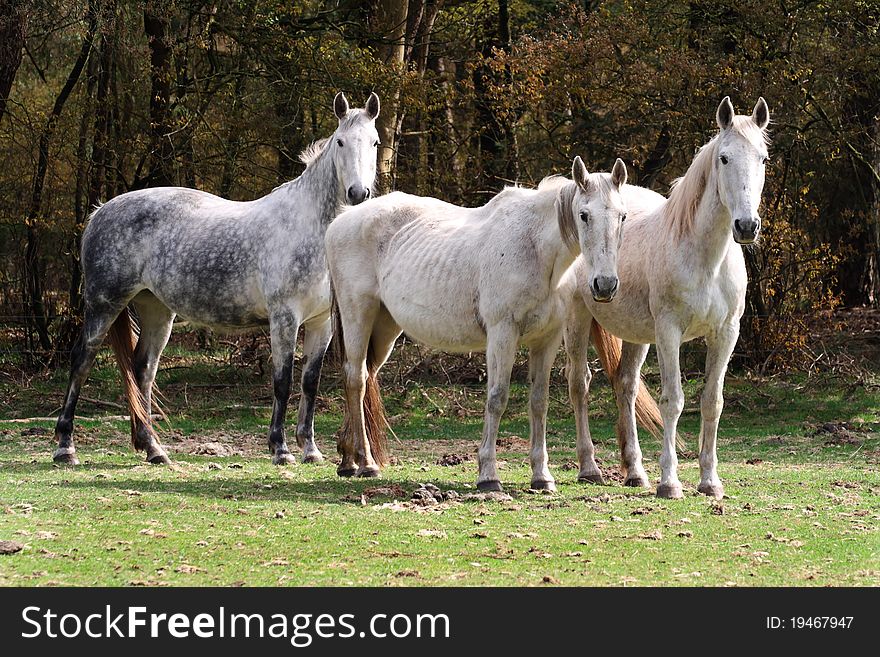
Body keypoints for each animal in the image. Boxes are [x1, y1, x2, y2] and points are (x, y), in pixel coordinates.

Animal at [51, 91, 380, 466]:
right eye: (340, 141)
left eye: (375, 142)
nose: (358, 193)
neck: (308, 226)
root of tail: (99, 213)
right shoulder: (284, 318)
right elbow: (282, 381)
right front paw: (280, 449)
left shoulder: (320, 321)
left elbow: (309, 382)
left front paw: (310, 449)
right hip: (104, 304)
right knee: (82, 361)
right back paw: (66, 447)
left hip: (156, 310)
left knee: (143, 370)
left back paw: (154, 449)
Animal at [330, 156, 660, 490]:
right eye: (584, 215)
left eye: (623, 216)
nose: (604, 285)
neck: (535, 249)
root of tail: (343, 219)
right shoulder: (503, 334)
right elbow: (497, 397)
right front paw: (488, 476)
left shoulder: (547, 339)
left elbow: (538, 401)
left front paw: (542, 476)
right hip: (358, 315)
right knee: (356, 378)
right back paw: (366, 463)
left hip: (384, 327)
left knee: (368, 375)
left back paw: (349, 459)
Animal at [568, 97, 768, 498]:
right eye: (724, 158)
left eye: (763, 158)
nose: (746, 226)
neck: (705, 258)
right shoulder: (670, 332)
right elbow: (672, 402)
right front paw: (670, 482)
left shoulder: (725, 334)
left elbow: (712, 402)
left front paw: (710, 481)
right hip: (579, 321)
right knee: (580, 384)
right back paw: (590, 468)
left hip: (637, 336)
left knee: (625, 386)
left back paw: (634, 472)